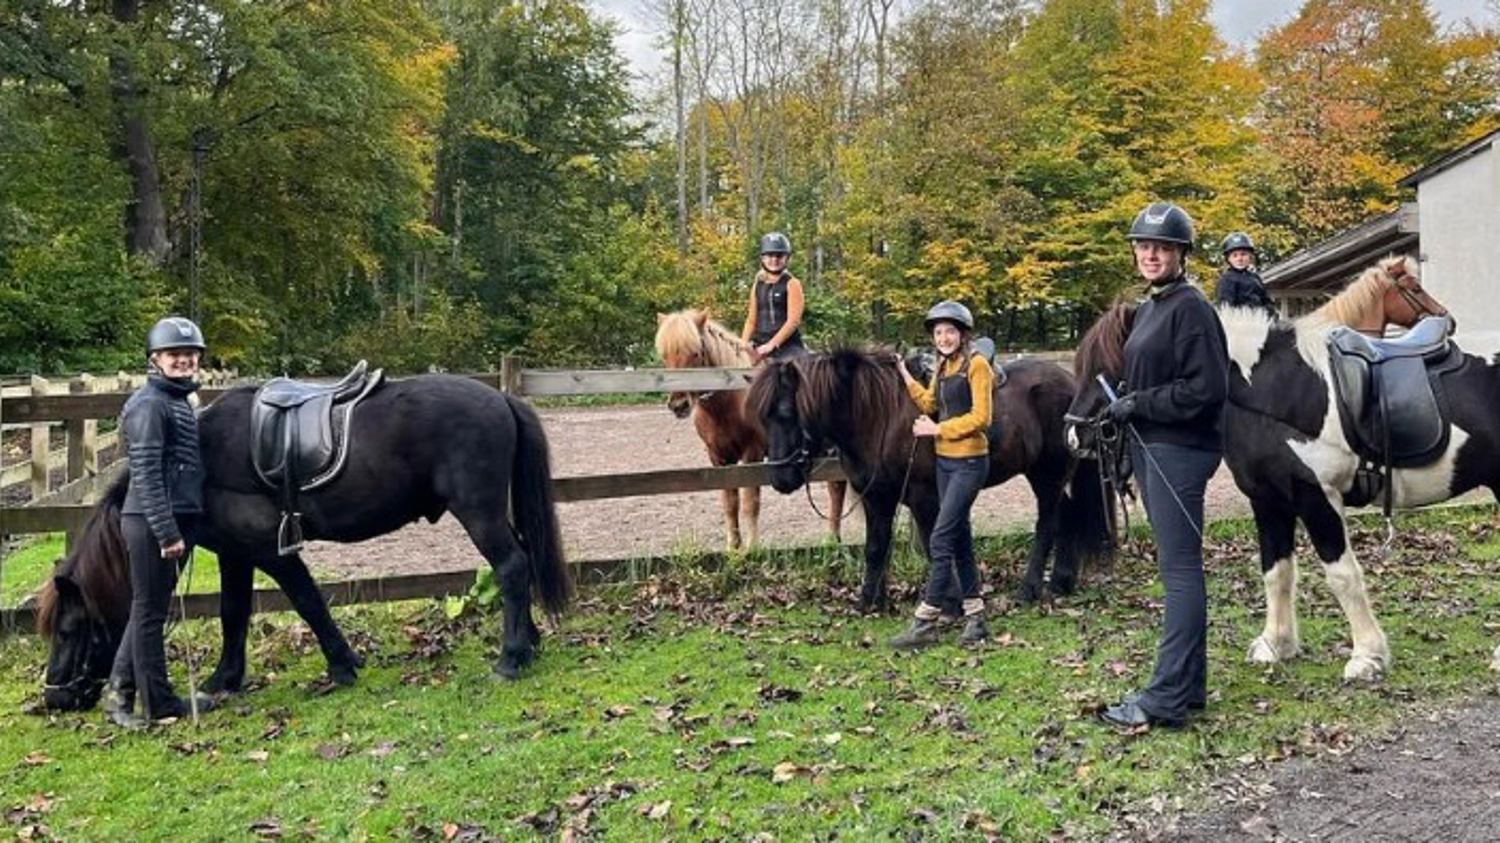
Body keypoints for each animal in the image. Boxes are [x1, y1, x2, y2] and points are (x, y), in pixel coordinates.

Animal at [37, 374, 573, 711]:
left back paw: (510, 658)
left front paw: (342, 665)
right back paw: (528, 643)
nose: (55, 697)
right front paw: (224, 679)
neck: (194, 461)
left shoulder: (269, 552)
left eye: (66, 631)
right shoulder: (235, 554)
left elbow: (308, 602)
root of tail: (501, 399)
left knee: (511, 567)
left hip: (478, 512)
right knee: (520, 564)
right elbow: (233, 613)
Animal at [654, 308, 847, 549]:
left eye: (696, 353)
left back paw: (833, 538)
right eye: (664, 355)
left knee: (837, 487)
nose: (678, 405)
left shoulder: (752, 454)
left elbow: (750, 502)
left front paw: (753, 547)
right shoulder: (718, 458)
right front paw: (733, 547)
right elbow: (730, 502)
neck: (730, 399)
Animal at [746, 346, 1113, 611]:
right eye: (762, 417)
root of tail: (1071, 386)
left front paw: (948, 600)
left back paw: (1029, 589)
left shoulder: (923, 497)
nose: (780, 477)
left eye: (786, 413)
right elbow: (876, 547)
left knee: (1048, 525)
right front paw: (870, 602)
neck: (880, 415)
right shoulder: (877, 497)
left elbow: (931, 543)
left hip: (1047, 475)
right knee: (1069, 517)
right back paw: (1061, 582)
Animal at [1065, 255, 1499, 681]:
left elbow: (1342, 576)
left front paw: (1367, 656)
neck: (1275, 391)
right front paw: (1277, 645)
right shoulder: (1268, 499)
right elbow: (1277, 572)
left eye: (1109, 363)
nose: (1072, 433)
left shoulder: (1316, 496)